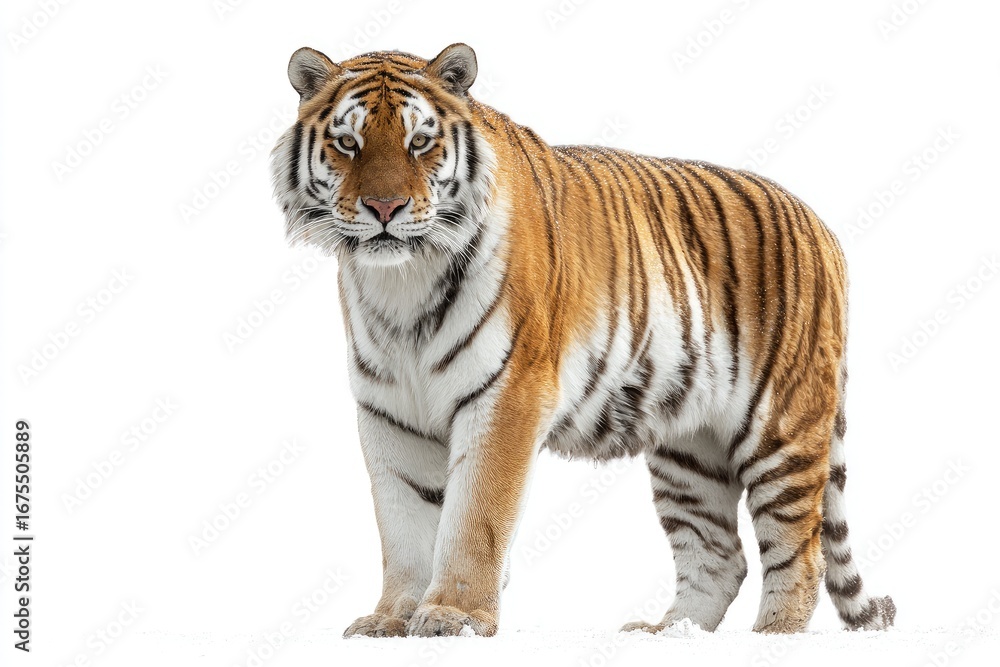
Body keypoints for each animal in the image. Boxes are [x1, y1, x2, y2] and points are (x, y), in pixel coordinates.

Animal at [269, 43, 896, 638]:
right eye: (348, 144)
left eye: (420, 142)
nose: (384, 208)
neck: (401, 281)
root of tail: (822, 226)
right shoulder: (389, 411)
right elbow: (401, 523)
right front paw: (392, 619)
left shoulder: (507, 393)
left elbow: (474, 515)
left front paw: (454, 617)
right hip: (690, 450)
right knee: (719, 554)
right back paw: (668, 633)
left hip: (782, 428)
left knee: (800, 552)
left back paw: (770, 636)